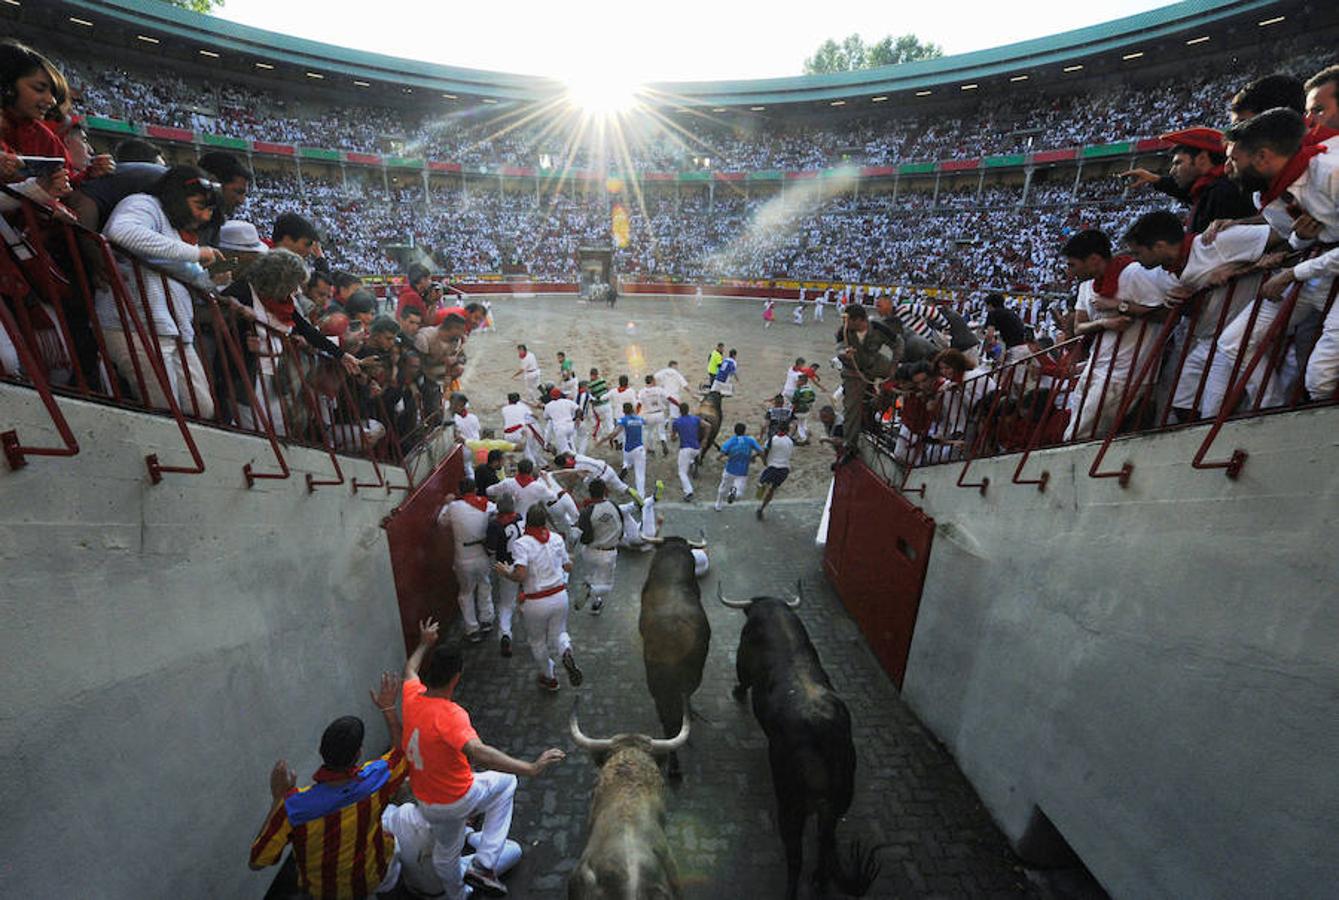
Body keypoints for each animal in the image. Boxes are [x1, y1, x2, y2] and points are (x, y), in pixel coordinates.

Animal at [728, 594, 883, 894]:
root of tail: (823, 732)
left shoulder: (743, 659)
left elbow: (743, 677)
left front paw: (737, 693)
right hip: (837, 804)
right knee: (824, 841)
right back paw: (820, 881)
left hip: (791, 804)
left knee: (795, 856)